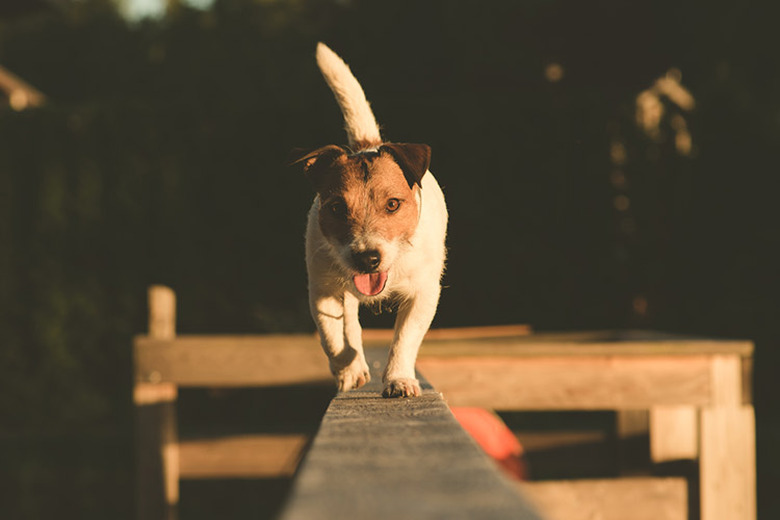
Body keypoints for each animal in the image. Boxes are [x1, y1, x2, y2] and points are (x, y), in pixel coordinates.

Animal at [292, 43, 448, 398]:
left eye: (393, 204)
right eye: (337, 208)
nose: (367, 258)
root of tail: (368, 146)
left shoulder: (423, 293)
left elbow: (405, 338)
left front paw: (399, 379)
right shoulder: (322, 290)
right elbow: (333, 338)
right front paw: (350, 371)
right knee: (349, 322)